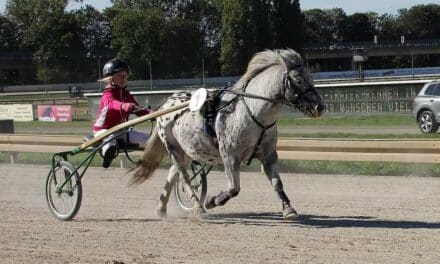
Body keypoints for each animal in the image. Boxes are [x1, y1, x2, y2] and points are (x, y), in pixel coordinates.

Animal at [129, 48, 324, 220]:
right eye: (298, 80)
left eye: (311, 78)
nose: (320, 107)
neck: (252, 112)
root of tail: (166, 103)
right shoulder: (230, 155)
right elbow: (234, 189)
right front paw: (211, 201)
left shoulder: (268, 154)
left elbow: (277, 183)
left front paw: (289, 209)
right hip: (172, 147)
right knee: (184, 177)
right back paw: (198, 207)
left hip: (186, 149)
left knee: (173, 174)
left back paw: (161, 209)